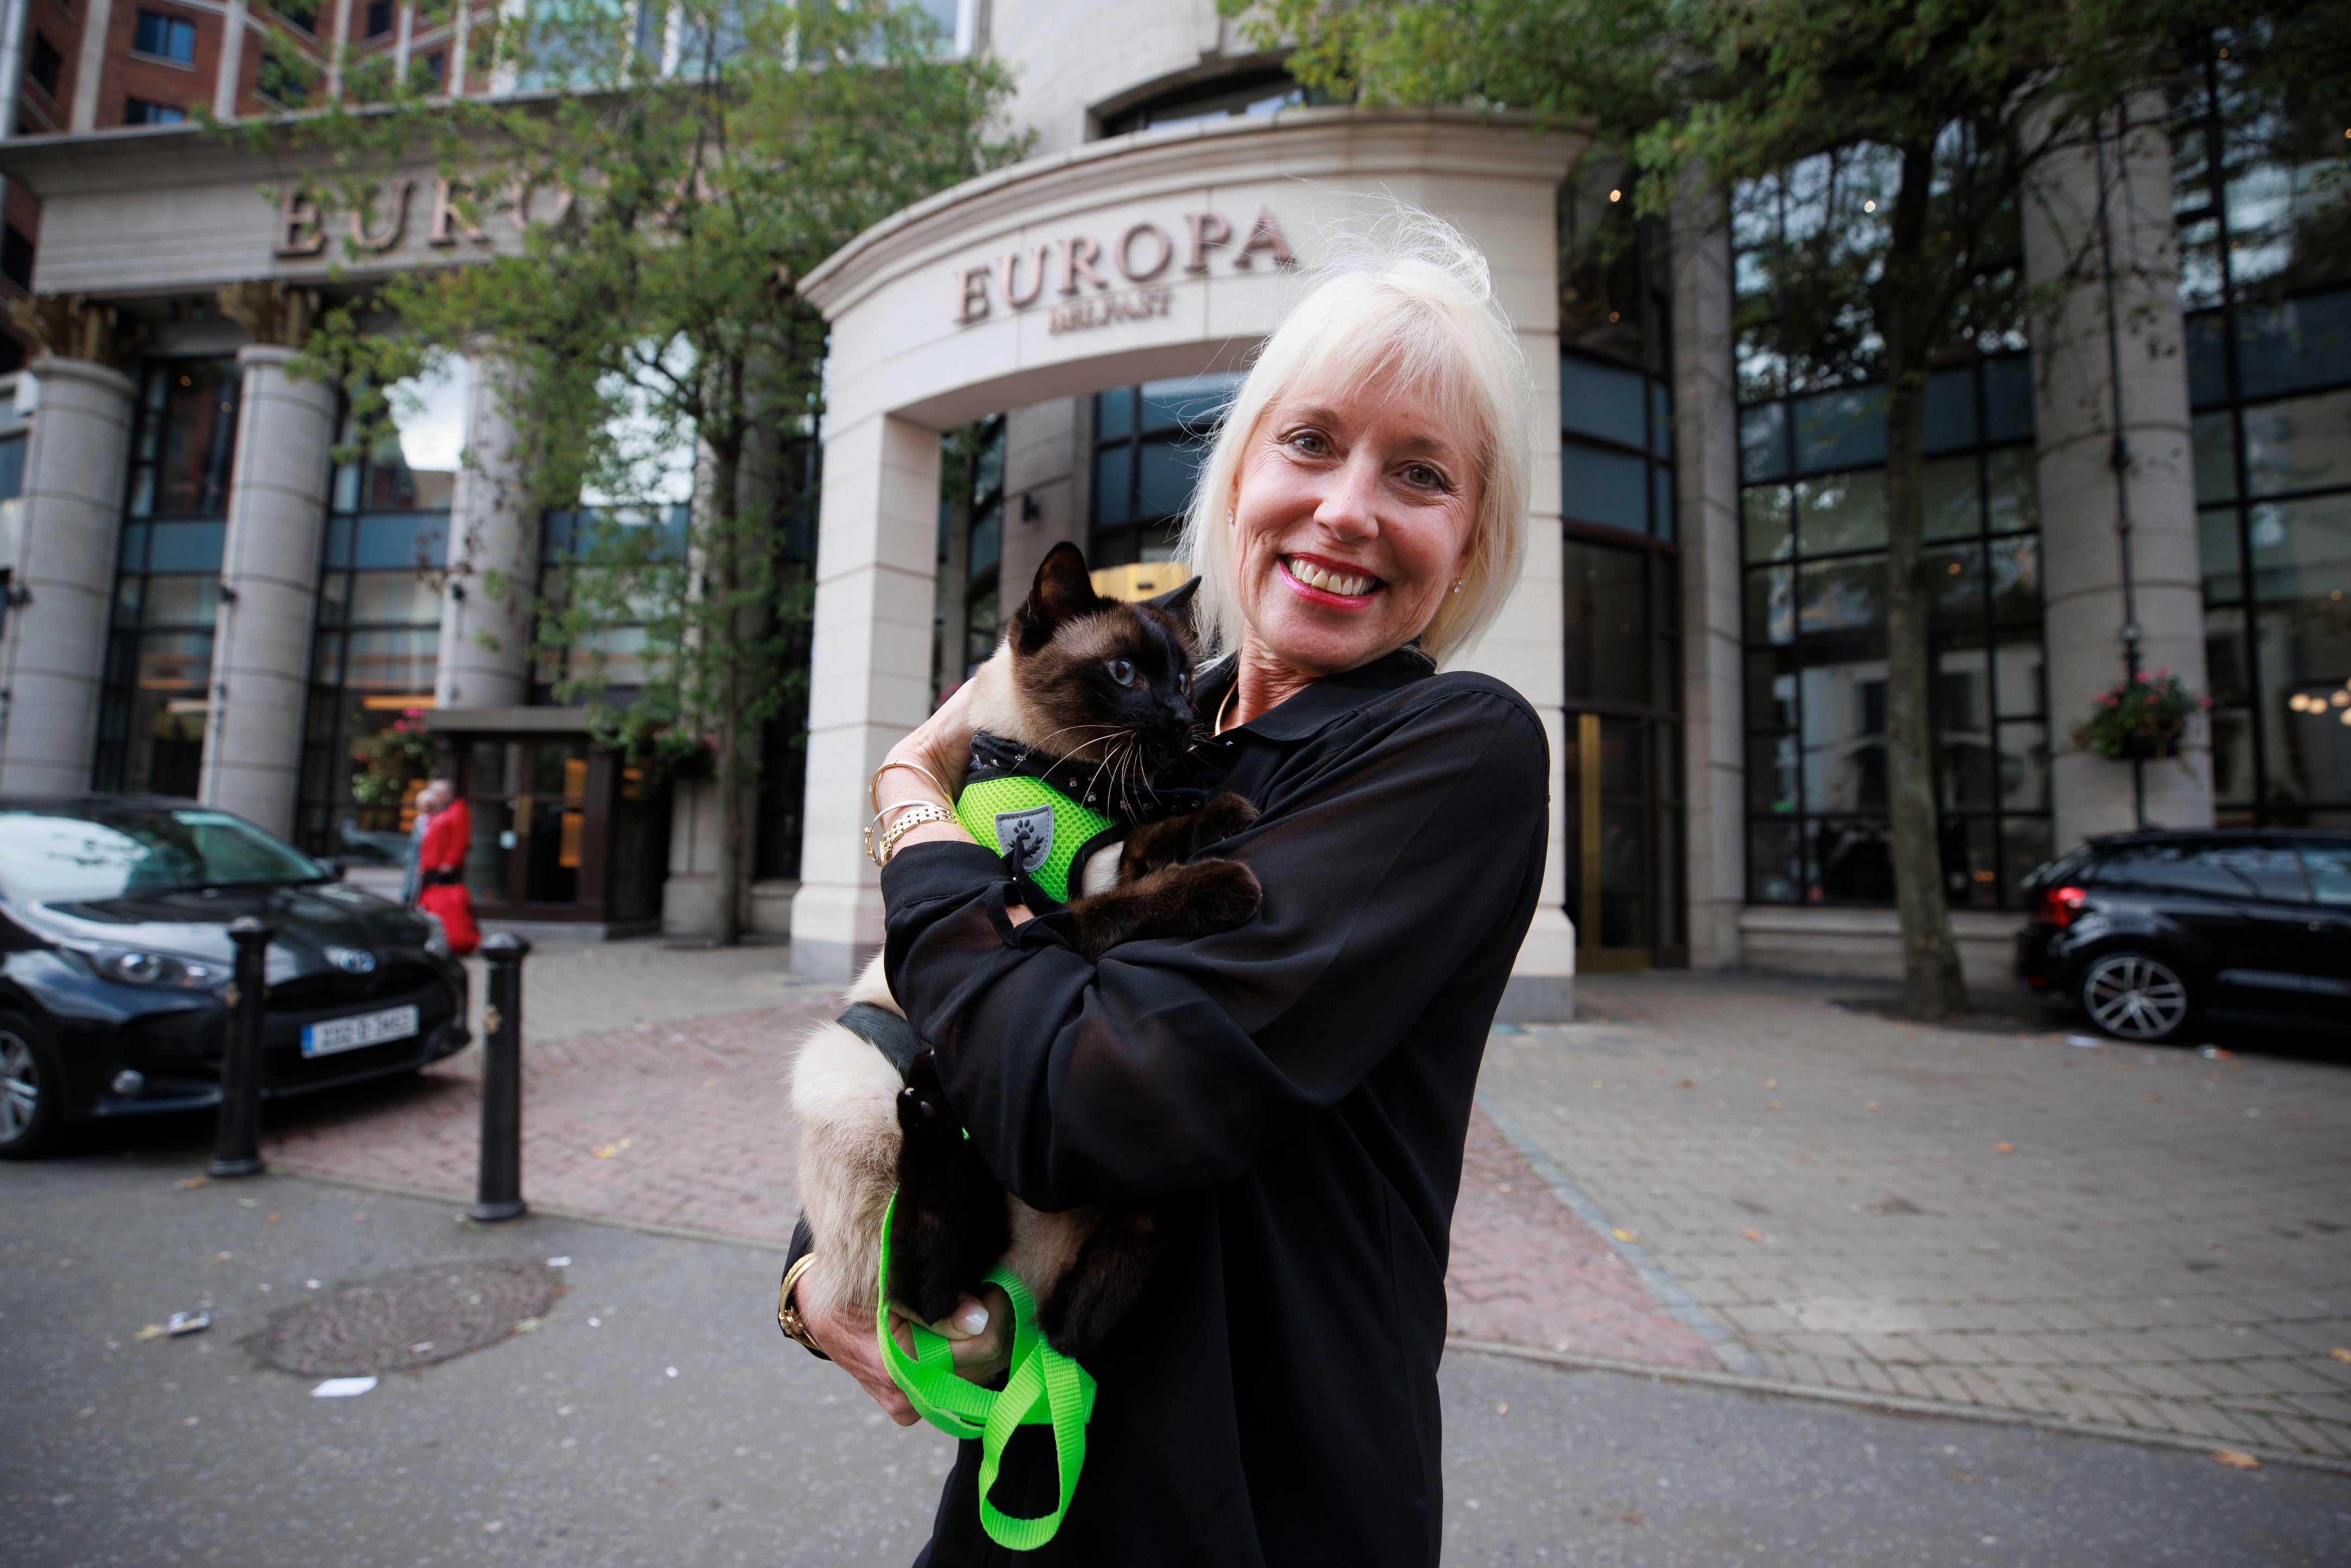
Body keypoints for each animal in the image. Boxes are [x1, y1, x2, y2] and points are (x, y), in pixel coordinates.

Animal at [790, 545, 1260, 1354]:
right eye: (1123, 673)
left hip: (1112, 1200)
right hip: (848, 1070)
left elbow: (1155, 839)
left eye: (1177, 676)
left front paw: (1225, 812)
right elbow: (1136, 899)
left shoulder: (1114, 852)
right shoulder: (1046, 923)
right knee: (915, 1287)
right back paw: (929, 1107)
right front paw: (1228, 881)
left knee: (1069, 1319)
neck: (1068, 776)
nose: (1180, 719)